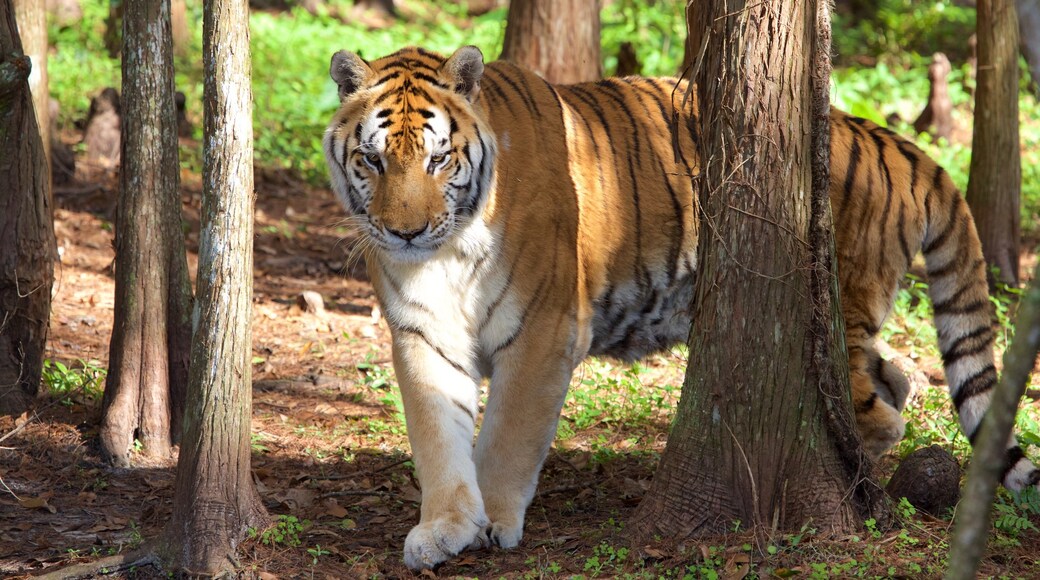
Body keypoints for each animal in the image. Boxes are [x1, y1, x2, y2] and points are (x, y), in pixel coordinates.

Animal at [320, 46, 1035, 573]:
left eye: (438, 159)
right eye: (373, 160)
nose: (405, 233)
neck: (446, 254)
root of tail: (888, 139)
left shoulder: (544, 329)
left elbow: (506, 436)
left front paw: (494, 519)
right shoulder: (422, 331)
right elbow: (436, 433)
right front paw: (444, 527)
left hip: (838, 311)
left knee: (880, 411)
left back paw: (864, 483)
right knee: (899, 379)